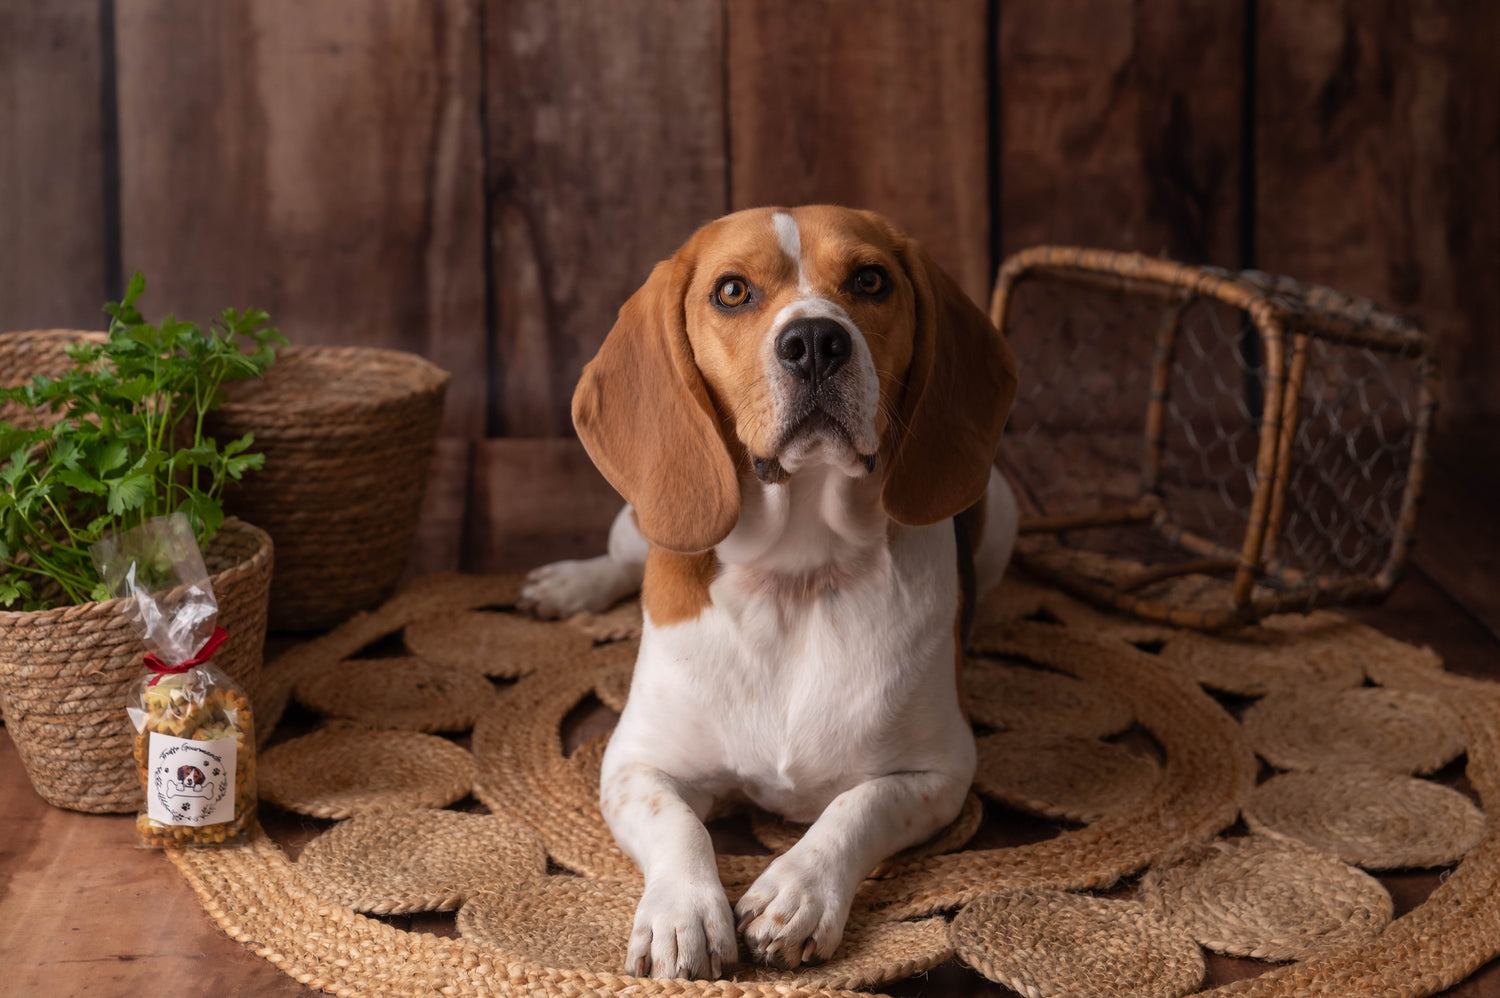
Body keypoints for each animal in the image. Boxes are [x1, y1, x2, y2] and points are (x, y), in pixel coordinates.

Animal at [519, 205, 1020, 978]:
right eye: (732, 291)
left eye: (870, 280)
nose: (815, 341)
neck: (796, 575)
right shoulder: (633, 764)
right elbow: (681, 826)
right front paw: (683, 913)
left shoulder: (940, 773)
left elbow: (856, 808)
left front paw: (798, 890)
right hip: (639, 521)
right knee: (620, 558)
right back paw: (569, 584)